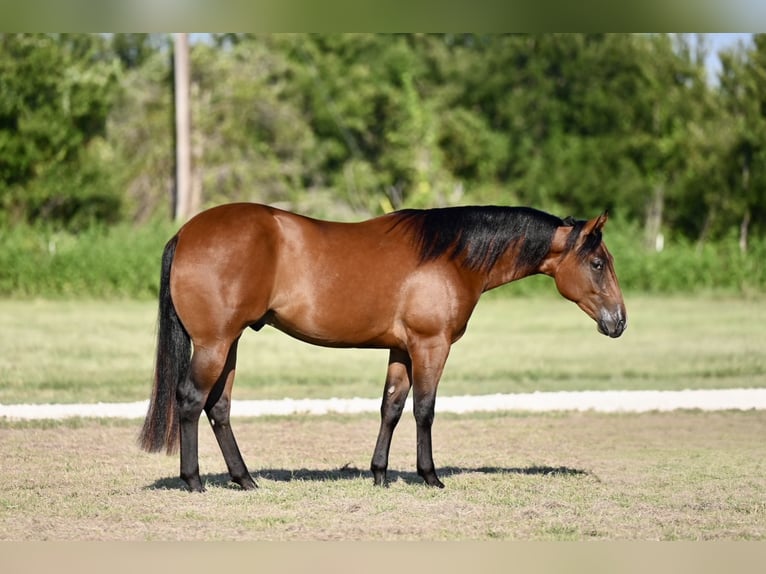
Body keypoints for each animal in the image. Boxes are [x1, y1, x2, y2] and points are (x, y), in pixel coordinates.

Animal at [138, 203, 626, 492]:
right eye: (597, 263)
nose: (619, 321)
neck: (450, 255)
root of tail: (185, 233)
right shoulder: (431, 346)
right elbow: (425, 410)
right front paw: (429, 476)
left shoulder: (402, 350)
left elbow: (391, 407)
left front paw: (380, 474)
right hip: (215, 344)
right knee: (191, 400)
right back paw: (194, 481)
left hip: (231, 343)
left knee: (218, 407)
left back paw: (245, 480)